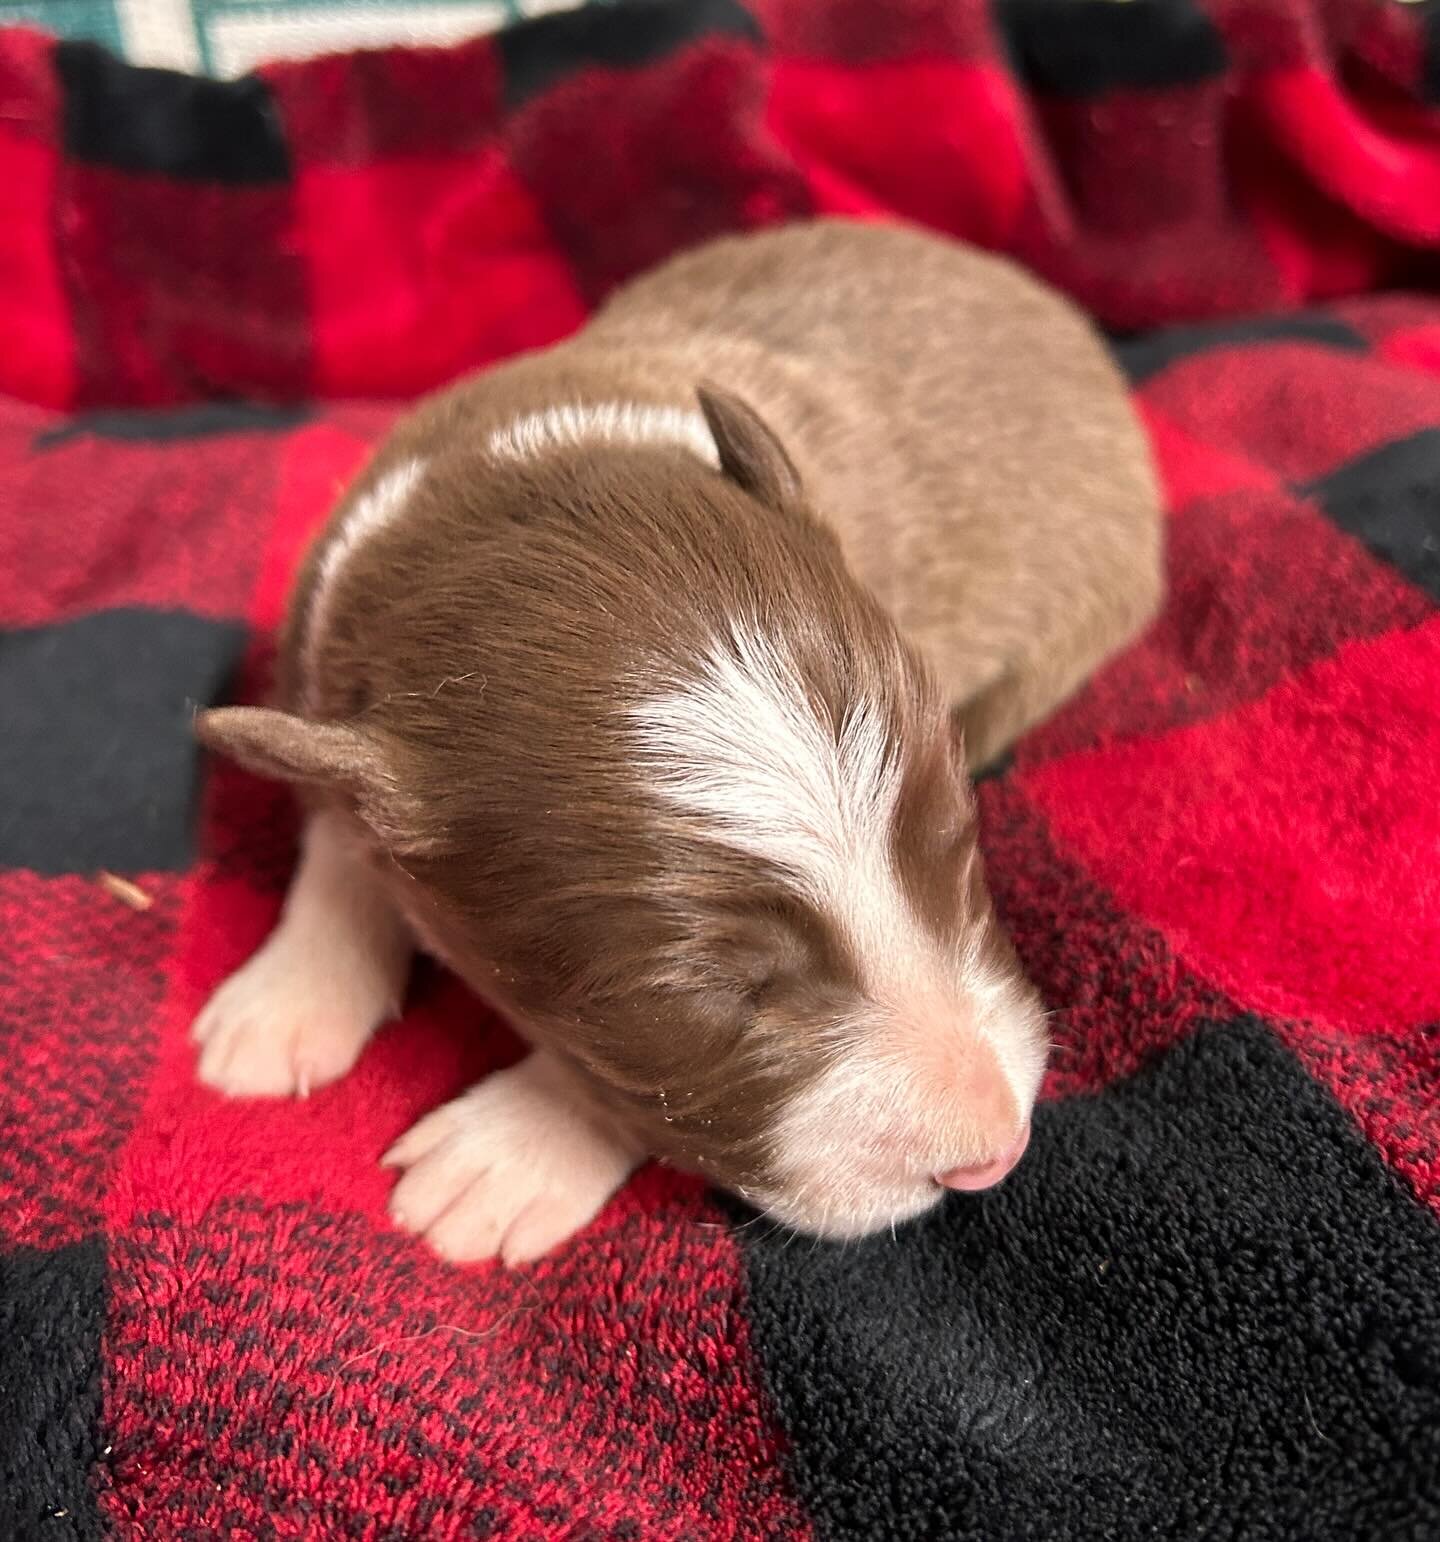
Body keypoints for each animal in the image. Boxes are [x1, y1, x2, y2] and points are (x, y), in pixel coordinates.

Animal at [191, 223, 1165, 1270]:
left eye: (960, 843)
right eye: (716, 994)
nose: (997, 1151)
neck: (516, 481)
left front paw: (512, 1150)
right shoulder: (321, 681)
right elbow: (333, 827)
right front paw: (288, 995)